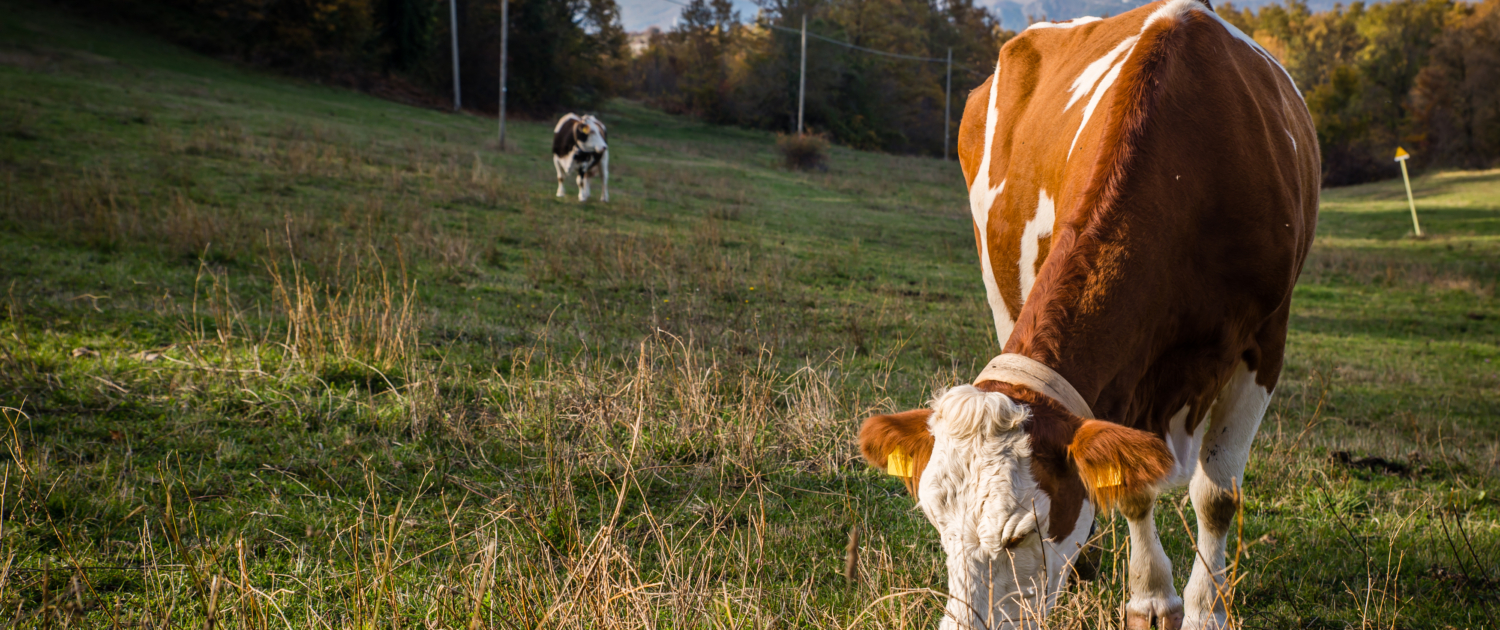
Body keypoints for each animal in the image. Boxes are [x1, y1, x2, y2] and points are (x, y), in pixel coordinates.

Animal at [864, 1, 1320, 630]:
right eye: (936, 523)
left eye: (1020, 534)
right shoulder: (1125, 374)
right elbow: (1130, 485)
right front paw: (1150, 597)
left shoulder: (1264, 338)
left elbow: (1217, 495)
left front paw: (1206, 609)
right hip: (1000, 282)